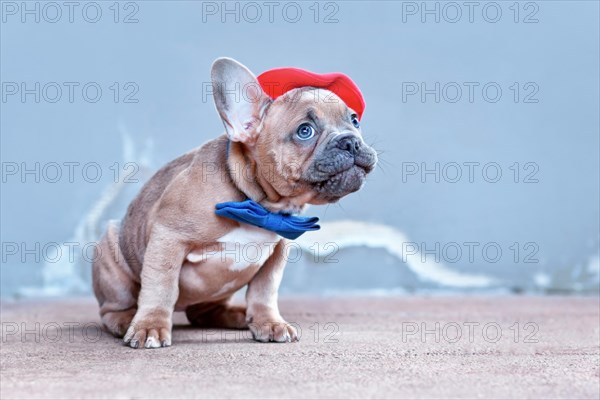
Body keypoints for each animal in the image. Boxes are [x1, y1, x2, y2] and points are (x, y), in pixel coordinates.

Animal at [91, 57, 378, 348]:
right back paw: (127, 320)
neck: (261, 206)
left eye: (354, 121)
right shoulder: (168, 236)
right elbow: (162, 286)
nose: (351, 141)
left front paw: (269, 323)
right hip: (111, 258)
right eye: (305, 131)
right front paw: (150, 326)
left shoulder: (277, 253)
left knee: (203, 312)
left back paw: (238, 315)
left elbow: (264, 290)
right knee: (112, 308)